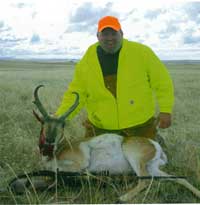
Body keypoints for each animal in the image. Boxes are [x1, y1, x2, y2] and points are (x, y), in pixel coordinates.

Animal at [14, 85, 200, 202]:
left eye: (63, 124)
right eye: (43, 122)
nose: (50, 141)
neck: (60, 150)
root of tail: (155, 146)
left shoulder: (78, 166)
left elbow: (66, 174)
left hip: (133, 157)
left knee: (145, 181)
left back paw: (122, 197)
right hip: (154, 169)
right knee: (178, 179)